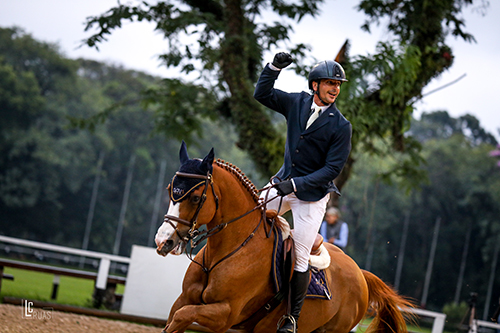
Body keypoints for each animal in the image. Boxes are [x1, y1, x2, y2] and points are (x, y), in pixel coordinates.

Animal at [157, 143, 414, 332]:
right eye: (171, 190)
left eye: (196, 198)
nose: (163, 241)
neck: (232, 249)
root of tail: (361, 273)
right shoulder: (184, 298)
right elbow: (175, 317)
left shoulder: (224, 313)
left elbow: (181, 317)